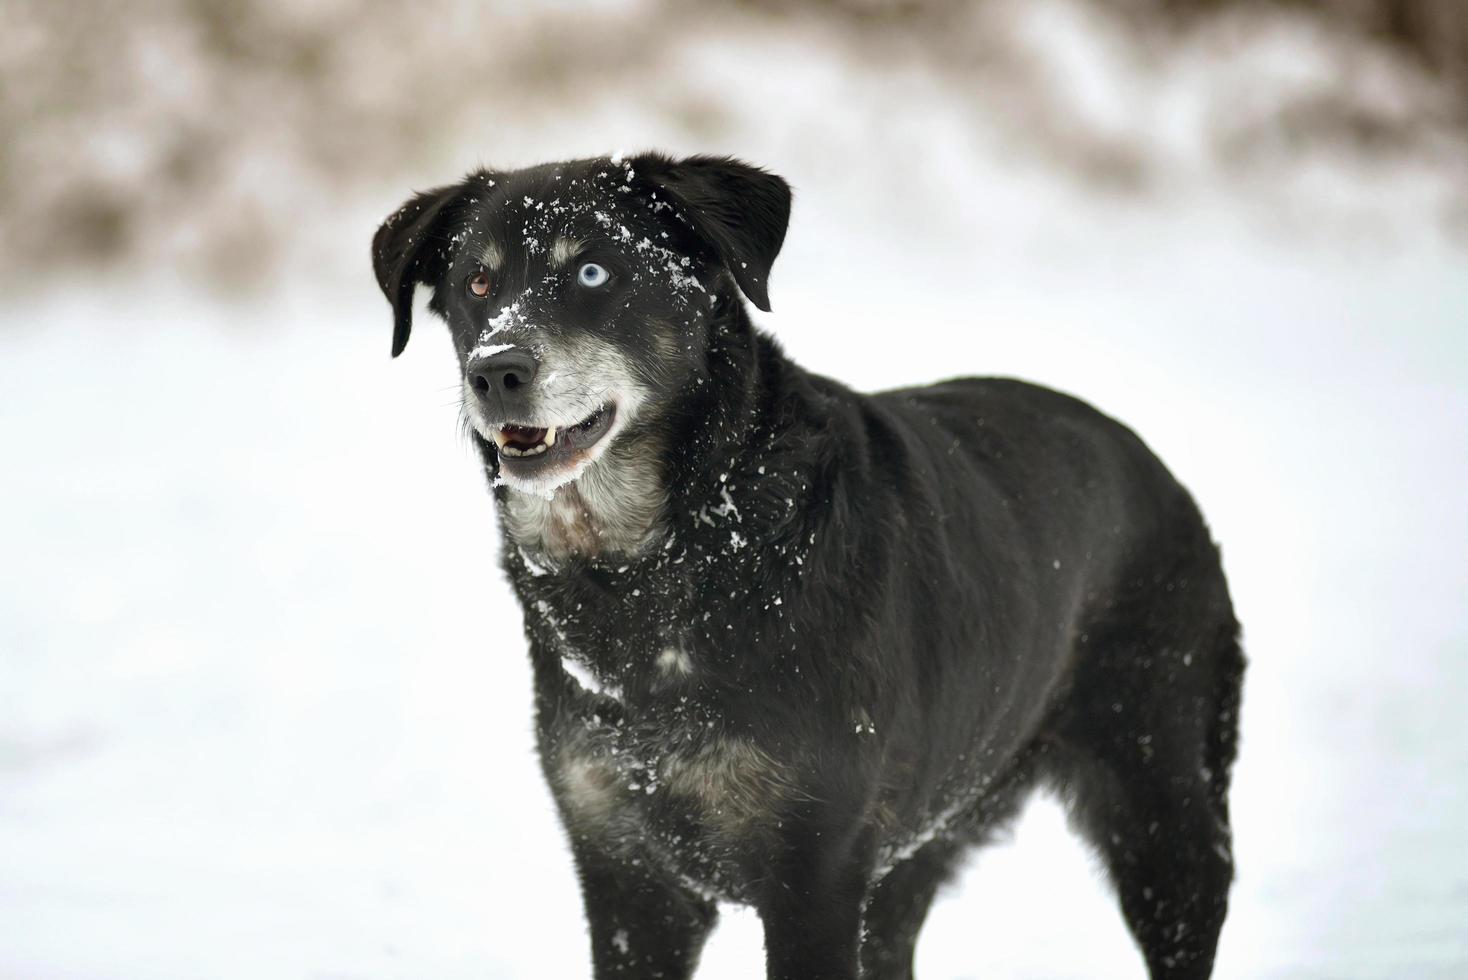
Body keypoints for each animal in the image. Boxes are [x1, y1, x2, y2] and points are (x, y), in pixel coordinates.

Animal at [372, 156, 1244, 974]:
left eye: (593, 271)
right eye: (477, 281)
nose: (496, 372)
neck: (670, 554)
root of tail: (1163, 478)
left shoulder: (813, 878)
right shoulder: (627, 877)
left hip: (1164, 821)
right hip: (911, 860)